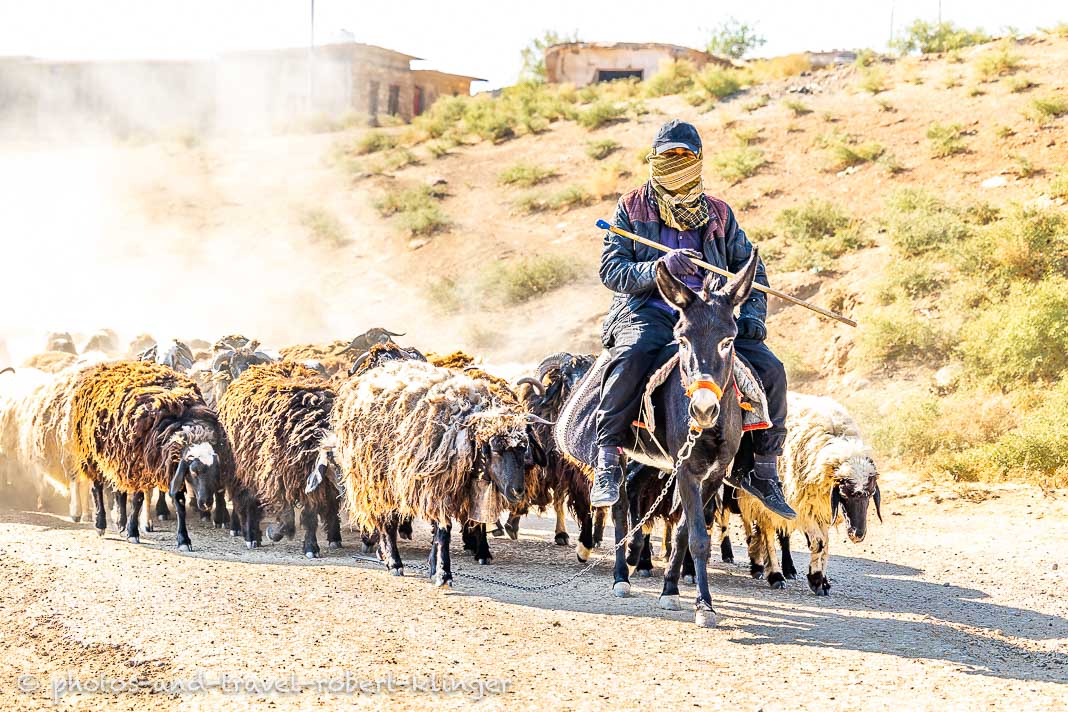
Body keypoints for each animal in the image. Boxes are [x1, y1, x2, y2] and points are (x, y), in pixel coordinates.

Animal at [331, 358, 527, 589]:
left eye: (523, 449)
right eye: (495, 449)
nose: (517, 491)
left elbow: (444, 530)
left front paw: (435, 567)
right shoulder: (435, 487)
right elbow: (443, 532)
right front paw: (444, 573)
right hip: (377, 479)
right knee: (387, 522)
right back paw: (393, 562)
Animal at [739, 394, 880, 597]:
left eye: (870, 495)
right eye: (844, 494)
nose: (858, 535)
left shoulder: (820, 507)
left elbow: (825, 545)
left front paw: (822, 580)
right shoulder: (803, 508)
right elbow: (819, 543)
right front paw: (816, 580)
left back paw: (784, 569)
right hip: (763, 502)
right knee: (766, 533)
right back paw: (774, 575)